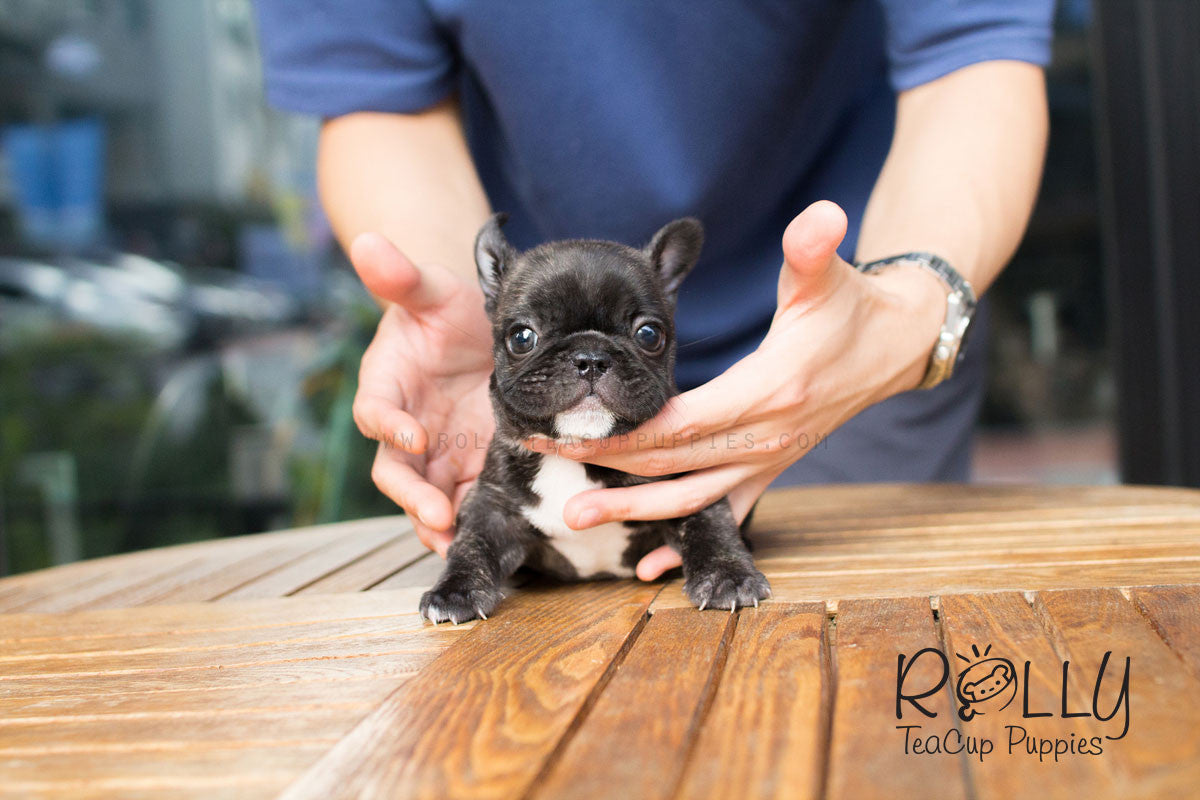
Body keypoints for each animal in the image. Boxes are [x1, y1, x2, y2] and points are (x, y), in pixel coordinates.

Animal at [420, 214, 768, 623]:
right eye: (521, 337)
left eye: (649, 334)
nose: (590, 357)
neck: (577, 454)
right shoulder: (490, 504)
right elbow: (470, 544)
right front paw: (455, 590)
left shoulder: (690, 486)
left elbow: (709, 525)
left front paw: (727, 576)